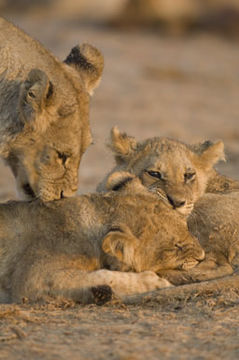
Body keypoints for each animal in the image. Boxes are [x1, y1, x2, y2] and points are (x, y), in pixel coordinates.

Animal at [0, 172, 204, 304]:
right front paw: (155, 282)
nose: (202, 257)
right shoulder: (32, 278)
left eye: (186, 227)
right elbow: (105, 276)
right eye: (176, 247)